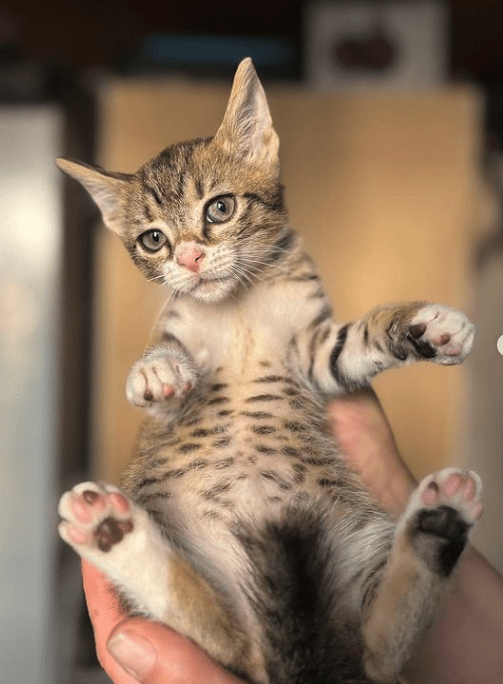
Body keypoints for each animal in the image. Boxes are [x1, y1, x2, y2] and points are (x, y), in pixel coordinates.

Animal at [57, 58, 482, 684]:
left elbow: (361, 337)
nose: (189, 258)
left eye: (220, 208)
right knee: (216, 626)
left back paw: (438, 523)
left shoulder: (317, 350)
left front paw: (425, 326)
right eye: (154, 240)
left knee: (377, 650)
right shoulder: (182, 331)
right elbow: (164, 360)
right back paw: (111, 532)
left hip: (361, 553)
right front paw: (156, 373)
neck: (239, 300)